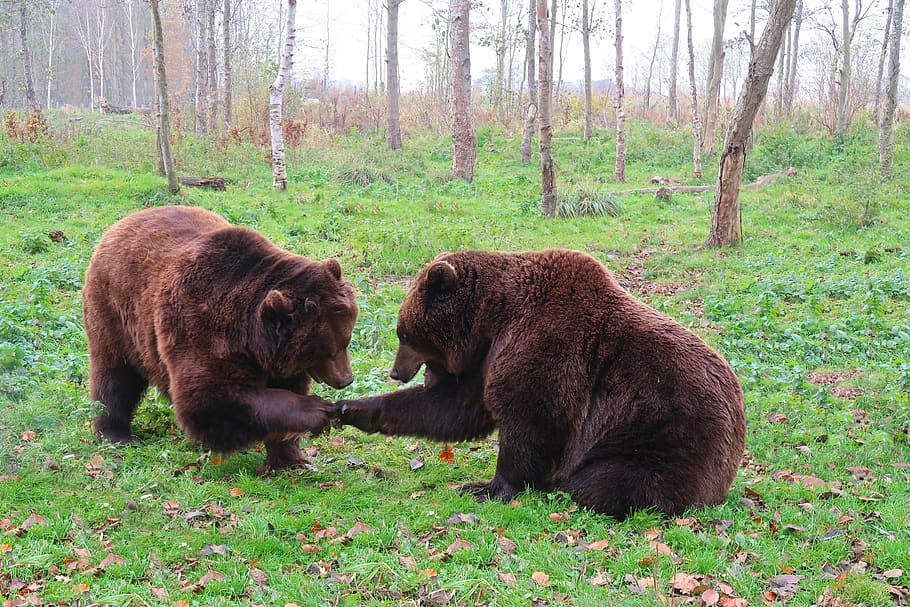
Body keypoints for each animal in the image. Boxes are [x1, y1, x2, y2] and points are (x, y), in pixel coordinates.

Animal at [83, 205, 358, 471]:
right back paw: (116, 433)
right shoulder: (201, 328)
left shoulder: (278, 359)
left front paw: (291, 459)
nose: (346, 380)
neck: (251, 339)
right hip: (115, 314)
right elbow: (210, 398)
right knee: (115, 376)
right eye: (326, 351)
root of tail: (121, 223)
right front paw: (316, 411)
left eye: (346, 341)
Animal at [338, 249, 745, 519]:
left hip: (663, 437)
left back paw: (566, 486)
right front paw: (354, 408)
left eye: (403, 333)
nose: (396, 372)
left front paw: (487, 487)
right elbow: (455, 409)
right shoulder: (487, 360)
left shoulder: (546, 345)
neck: (492, 319)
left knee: (607, 482)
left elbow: (530, 421)